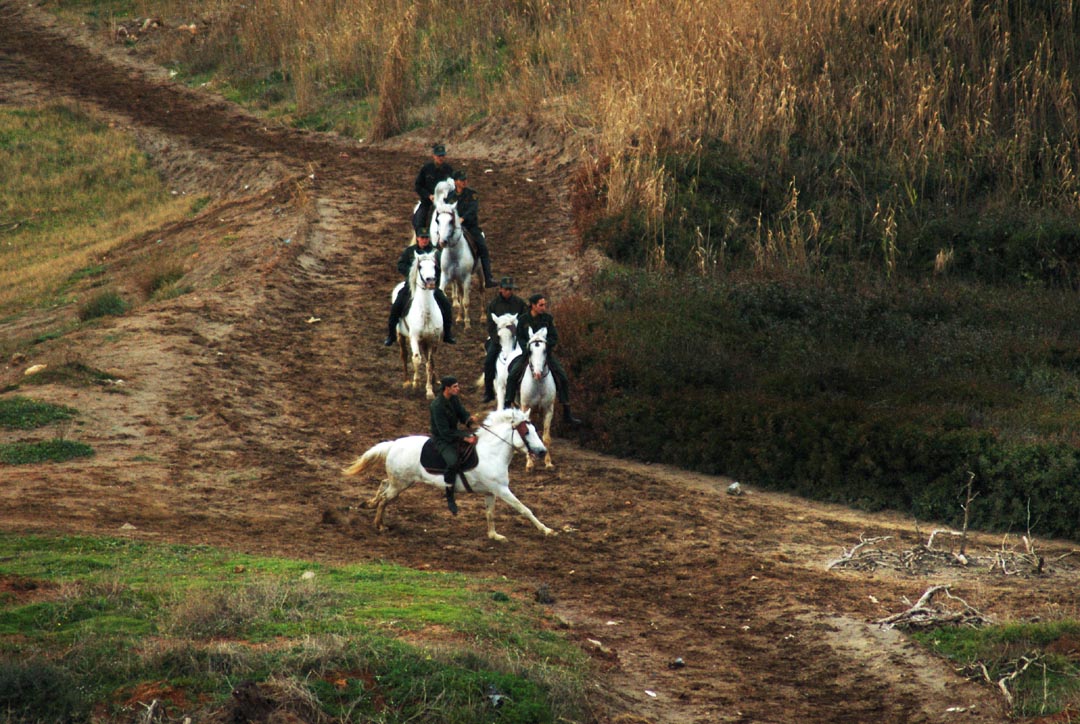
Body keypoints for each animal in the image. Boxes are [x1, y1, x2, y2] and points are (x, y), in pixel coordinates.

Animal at [341, 408, 552, 544]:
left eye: (535, 430)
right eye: (526, 431)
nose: (542, 452)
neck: (491, 453)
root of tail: (393, 444)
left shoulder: (490, 492)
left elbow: (490, 513)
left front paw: (494, 536)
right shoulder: (501, 490)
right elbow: (524, 509)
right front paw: (547, 530)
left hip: (400, 482)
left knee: (383, 484)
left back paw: (370, 504)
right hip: (401, 483)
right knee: (385, 497)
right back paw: (380, 524)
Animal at [393, 249, 442, 397]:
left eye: (434, 266)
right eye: (420, 267)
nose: (430, 281)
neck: (426, 313)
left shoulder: (433, 340)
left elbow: (429, 364)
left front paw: (429, 390)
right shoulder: (414, 337)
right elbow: (416, 358)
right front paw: (416, 384)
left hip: (425, 342)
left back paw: (436, 380)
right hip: (401, 336)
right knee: (404, 355)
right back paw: (407, 381)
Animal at [427, 180, 479, 330]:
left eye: (451, 220)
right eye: (438, 220)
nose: (442, 242)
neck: (455, 253)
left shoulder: (466, 278)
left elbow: (466, 301)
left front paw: (467, 324)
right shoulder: (445, 276)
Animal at [518, 328, 557, 473]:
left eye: (545, 350)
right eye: (530, 351)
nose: (538, 374)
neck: (538, 385)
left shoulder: (548, 410)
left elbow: (546, 438)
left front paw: (548, 463)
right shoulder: (525, 408)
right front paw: (529, 464)